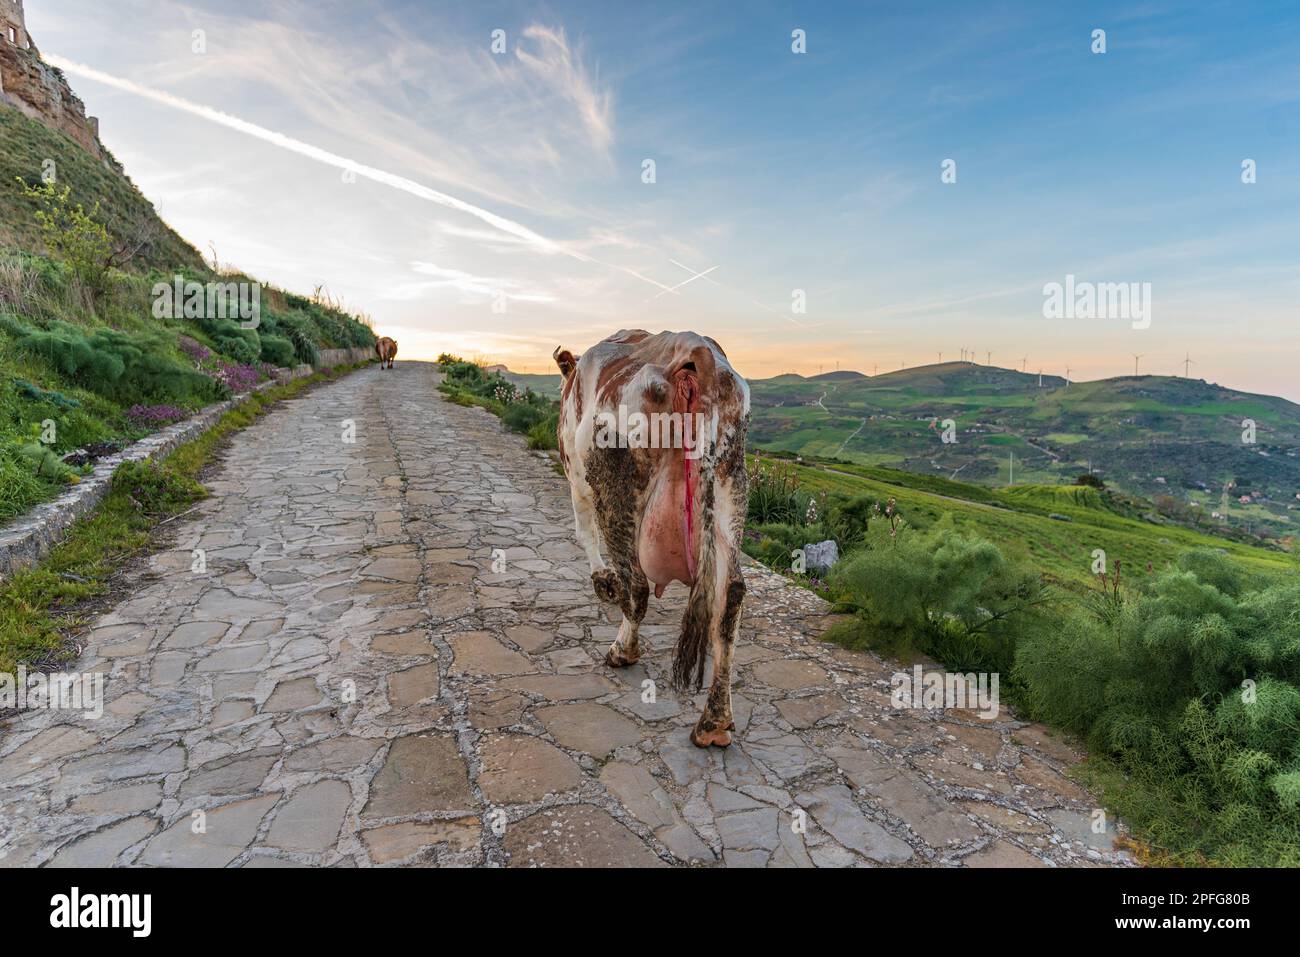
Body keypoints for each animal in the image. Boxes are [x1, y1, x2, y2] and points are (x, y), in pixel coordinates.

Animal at [551, 328, 754, 748]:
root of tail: (695, 350)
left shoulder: (576, 480)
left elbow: (583, 531)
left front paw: (603, 582)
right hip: (732, 479)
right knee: (731, 598)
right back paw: (714, 722)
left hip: (616, 486)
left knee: (638, 586)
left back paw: (622, 650)